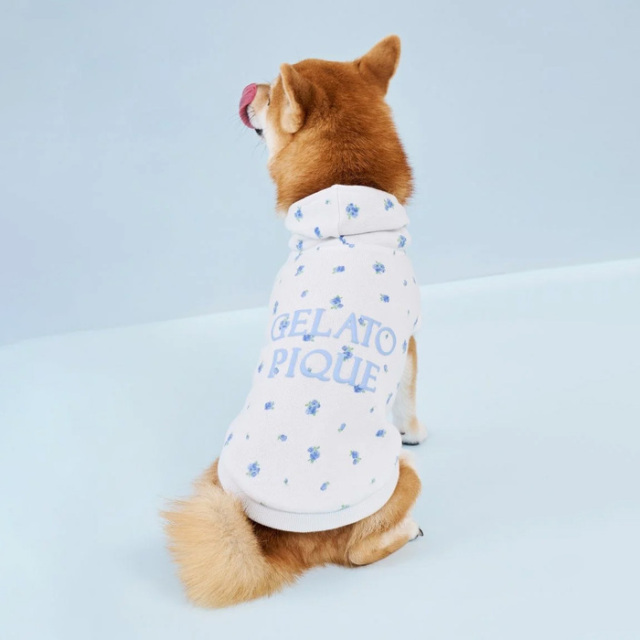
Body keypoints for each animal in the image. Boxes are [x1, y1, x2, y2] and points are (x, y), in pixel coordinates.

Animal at [164, 35, 427, 608]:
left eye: (269, 94)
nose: (250, 87)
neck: (345, 194)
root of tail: (277, 540)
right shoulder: (413, 339)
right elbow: (411, 399)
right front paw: (416, 430)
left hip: (217, 473)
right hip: (404, 477)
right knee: (359, 552)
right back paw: (407, 530)